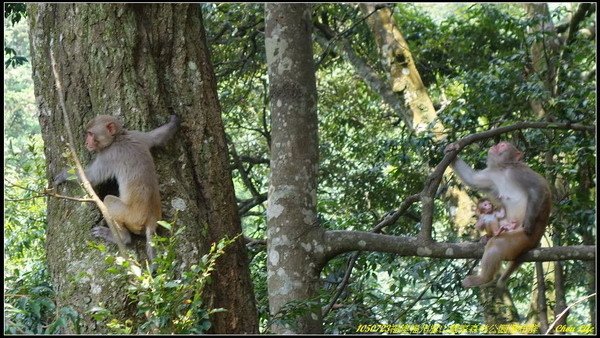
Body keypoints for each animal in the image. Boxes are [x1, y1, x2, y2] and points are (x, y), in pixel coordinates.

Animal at [54, 115, 178, 260]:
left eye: (90, 134)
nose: (86, 142)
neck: (118, 138)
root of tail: (151, 220)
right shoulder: (137, 135)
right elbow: (156, 137)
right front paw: (174, 121)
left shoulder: (108, 155)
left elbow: (91, 178)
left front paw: (64, 175)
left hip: (130, 215)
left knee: (108, 200)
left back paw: (120, 237)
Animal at [442, 141, 552, 288]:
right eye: (500, 144)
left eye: (504, 145)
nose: (497, 145)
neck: (503, 170)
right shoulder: (492, 175)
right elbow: (472, 179)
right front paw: (452, 150)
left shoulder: (519, 172)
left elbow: (539, 188)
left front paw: (528, 223)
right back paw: (487, 237)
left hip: (523, 238)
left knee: (497, 245)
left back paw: (483, 278)